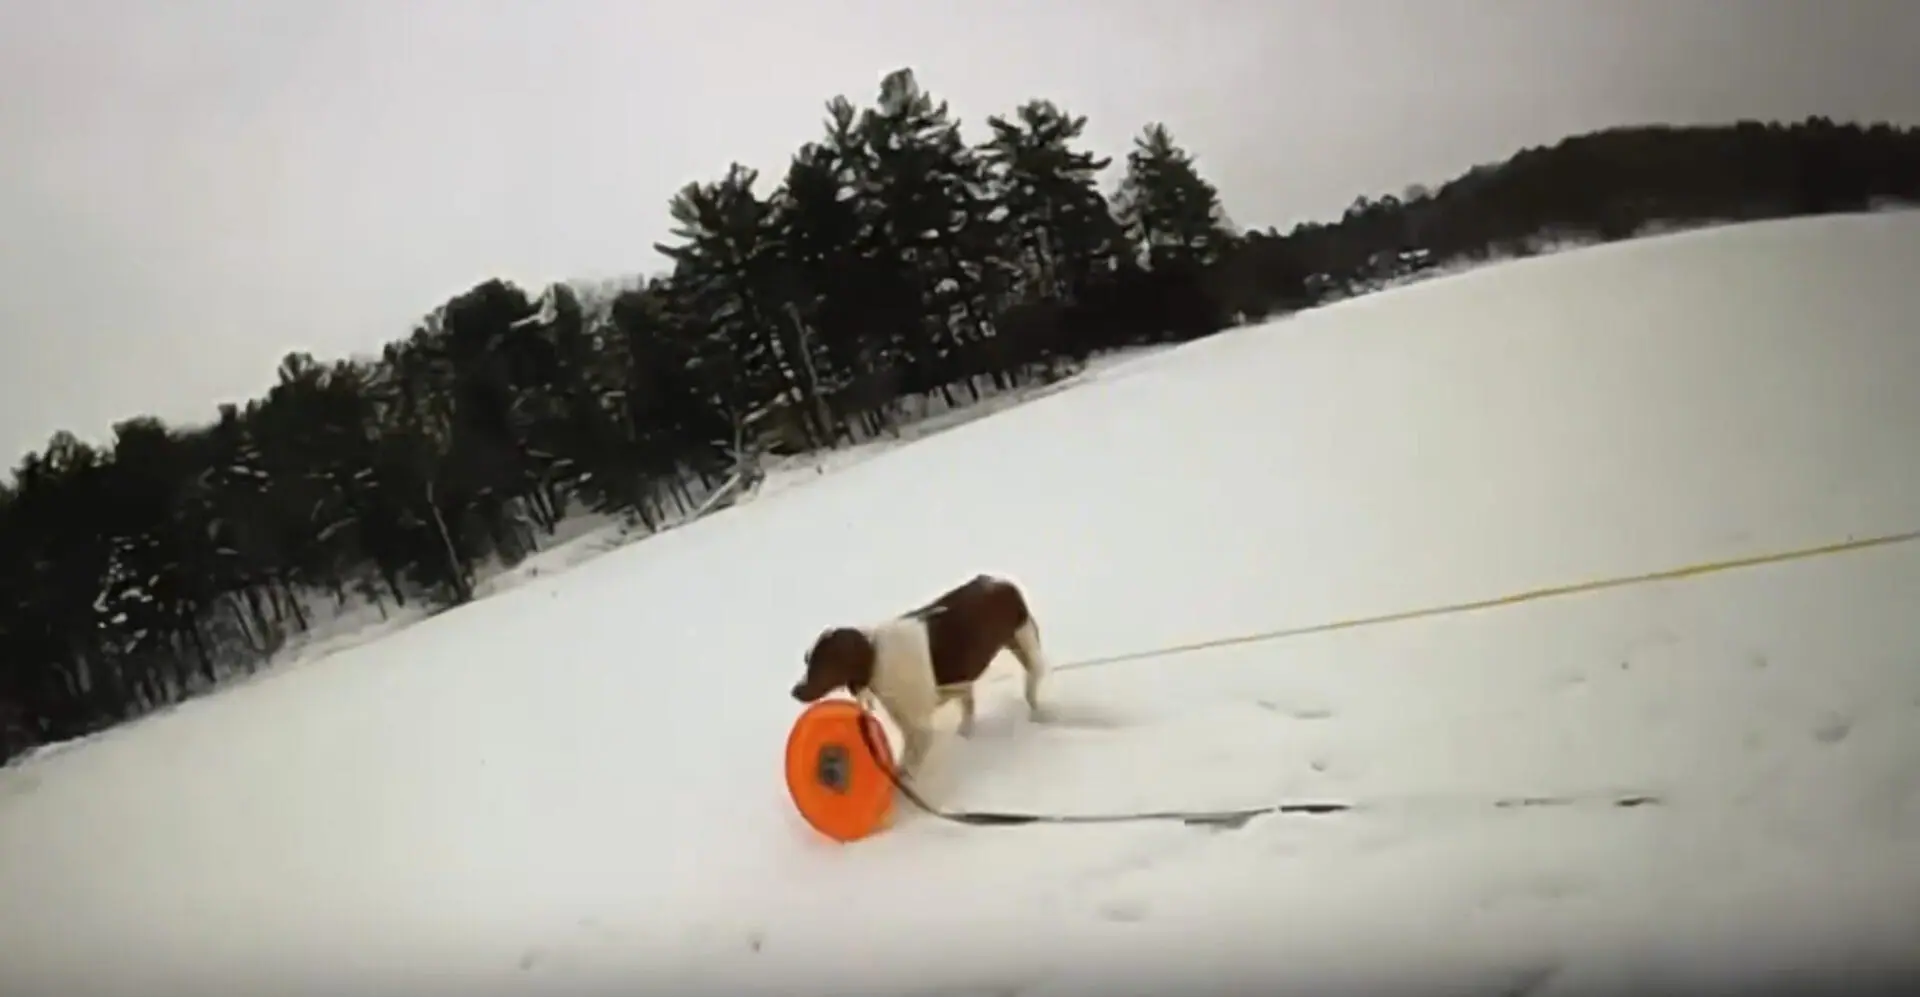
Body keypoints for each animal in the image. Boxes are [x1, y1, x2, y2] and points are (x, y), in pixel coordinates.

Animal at [791, 572, 1052, 783]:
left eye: (823, 664)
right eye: (806, 660)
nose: (794, 691)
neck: (876, 655)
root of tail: (1001, 581)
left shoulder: (920, 729)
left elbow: (908, 768)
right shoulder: (908, 723)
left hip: (1028, 649)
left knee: (1031, 690)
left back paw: (1038, 716)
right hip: (965, 679)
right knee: (968, 705)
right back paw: (965, 733)